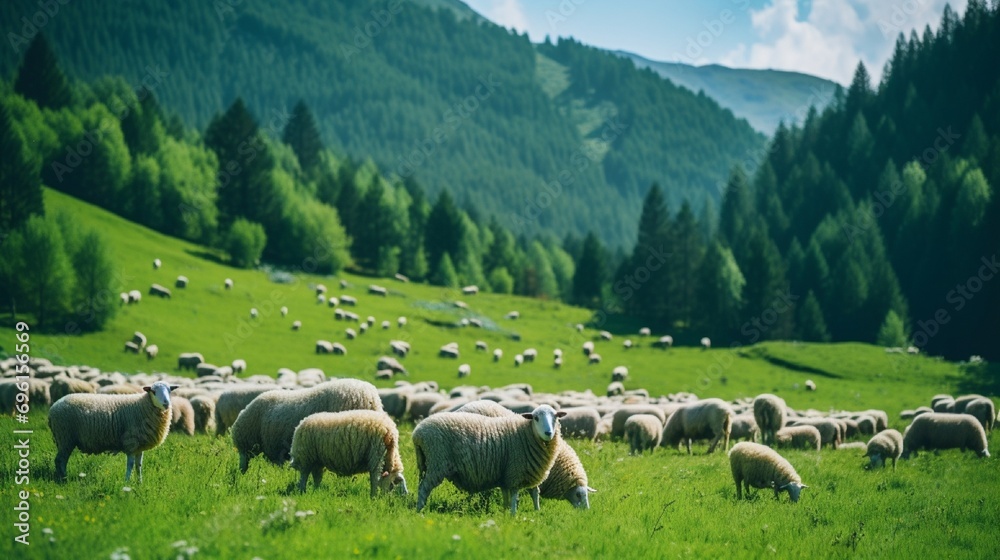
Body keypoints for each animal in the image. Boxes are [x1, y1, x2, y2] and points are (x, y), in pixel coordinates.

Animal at [48, 381, 178, 482]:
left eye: (169, 391)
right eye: (153, 392)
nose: (166, 403)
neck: (142, 406)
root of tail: (54, 406)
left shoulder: (139, 446)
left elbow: (139, 465)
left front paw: (139, 482)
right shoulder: (130, 442)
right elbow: (130, 465)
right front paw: (127, 482)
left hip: (64, 439)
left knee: (61, 460)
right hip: (65, 436)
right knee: (60, 460)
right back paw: (64, 478)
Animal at [412, 405, 567, 514]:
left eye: (555, 417)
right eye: (536, 418)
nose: (548, 433)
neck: (525, 433)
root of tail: (417, 433)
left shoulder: (512, 474)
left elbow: (525, 494)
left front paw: (529, 512)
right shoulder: (516, 471)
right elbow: (515, 495)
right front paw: (513, 514)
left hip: (425, 463)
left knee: (421, 486)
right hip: (437, 462)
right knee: (424, 488)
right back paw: (420, 510)